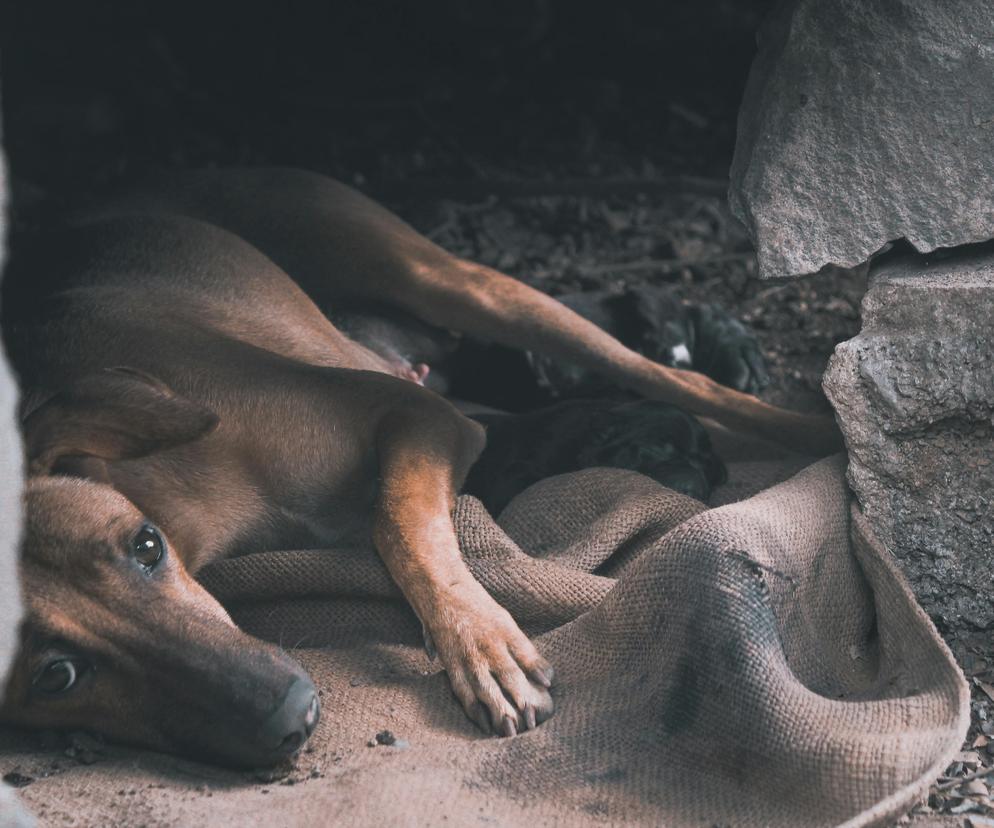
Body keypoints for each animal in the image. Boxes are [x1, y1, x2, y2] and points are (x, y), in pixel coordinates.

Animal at [0, 167, 836, 764]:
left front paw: (480, 642)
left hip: (453, 283)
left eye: (145, 548)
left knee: (679, 381)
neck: (187, 505)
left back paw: (813, 425)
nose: (291, 715)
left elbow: (397, 521)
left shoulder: (414, 414)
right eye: (55, 676)